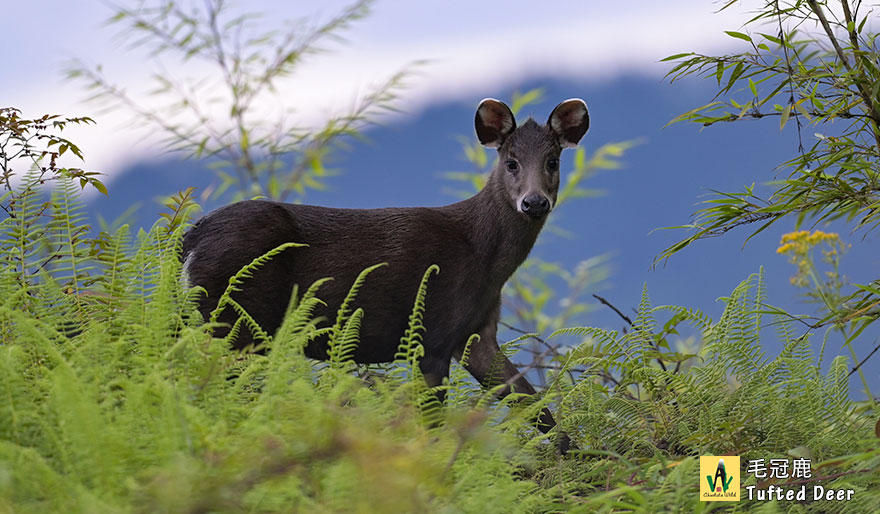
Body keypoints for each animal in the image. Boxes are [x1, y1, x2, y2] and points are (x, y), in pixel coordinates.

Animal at [181, 98, 588, 450]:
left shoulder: (475, 332)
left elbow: (531, 402)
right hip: (236, 319)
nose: (534, 202)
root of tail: (189, 239)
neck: (485, 262)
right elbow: (433, 424)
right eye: (511, 163)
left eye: (553, 161)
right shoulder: (432, 330)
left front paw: (577, 455)